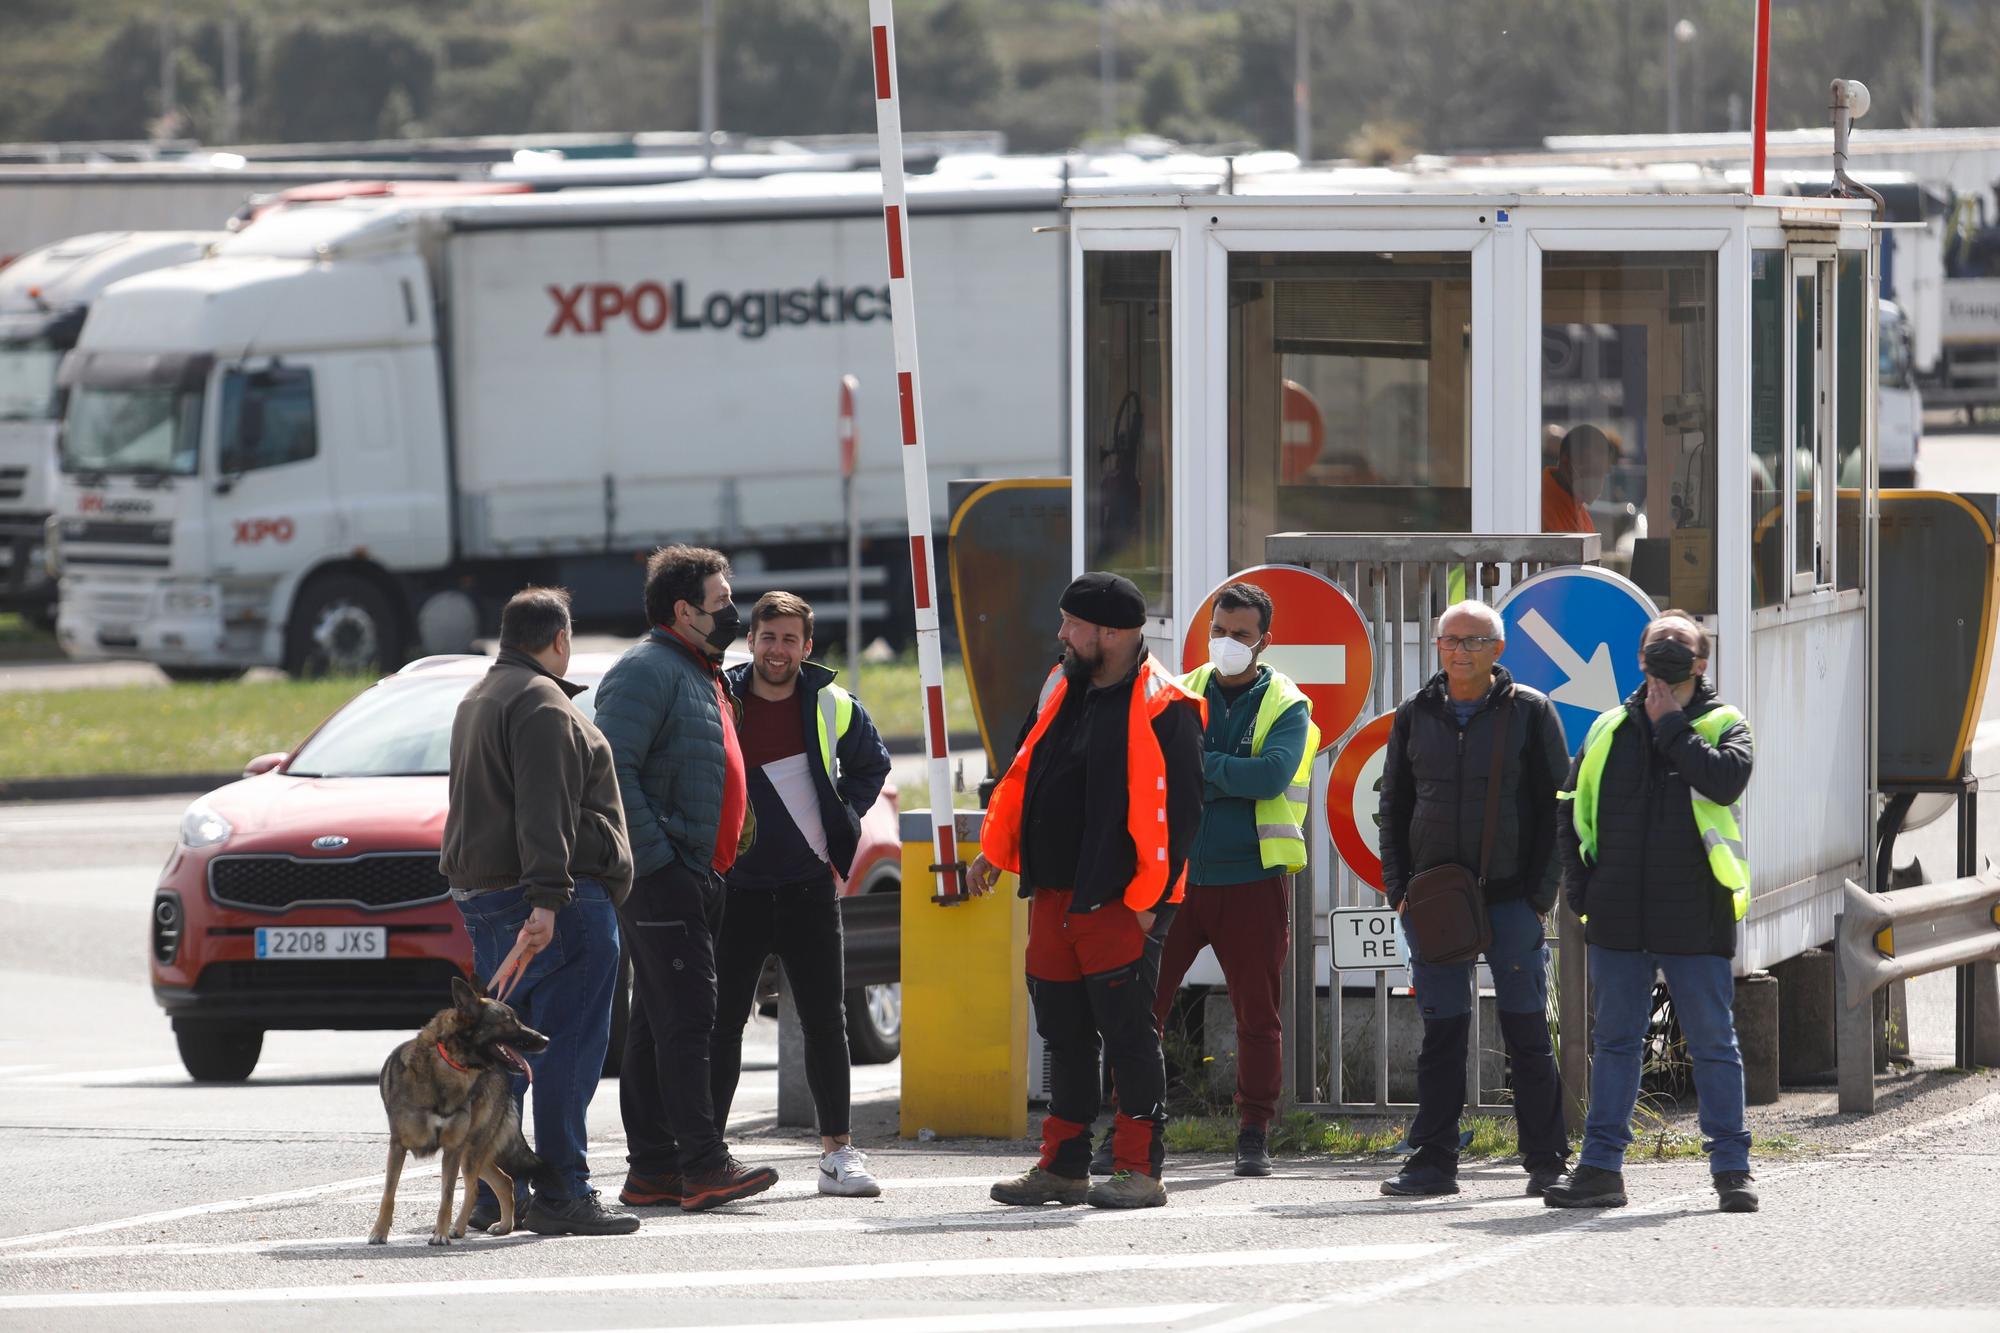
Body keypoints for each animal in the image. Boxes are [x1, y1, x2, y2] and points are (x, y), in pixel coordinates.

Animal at [368, 972, 552, 1240]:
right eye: (509, 1021)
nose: (546, 1039)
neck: (448, 1064)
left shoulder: (452, 1149)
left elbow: (447, 1197)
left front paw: (440, 1235)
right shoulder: (398, 1145)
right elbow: (388, 1194)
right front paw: (379, 1232)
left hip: (471, 1151)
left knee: (478, 1187)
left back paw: (460, 1228)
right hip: (472, 1153)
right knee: (503, 1181)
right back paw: (502, 1225)